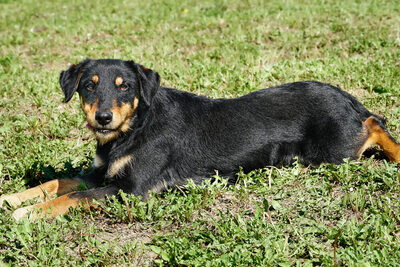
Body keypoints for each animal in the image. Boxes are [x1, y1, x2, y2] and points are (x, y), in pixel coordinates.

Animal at [0, 59, 400, 221]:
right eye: (88, 86)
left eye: (124, 87)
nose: (102, 119)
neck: (134, 128)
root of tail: (346, 97)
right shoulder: (100, 174)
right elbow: (57, 183)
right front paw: (13, 199)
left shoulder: (130, 190)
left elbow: (71, 198)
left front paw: (25, 214)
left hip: (333, 151)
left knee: (374, 125)